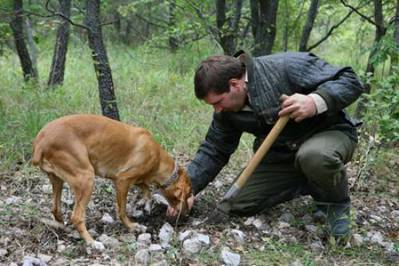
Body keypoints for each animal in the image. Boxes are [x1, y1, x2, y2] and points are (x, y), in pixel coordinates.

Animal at [32, 113, 192, 246]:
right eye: (189, 194)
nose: (186, 215)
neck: (157, 158)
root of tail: (41, 142)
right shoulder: (122, 180)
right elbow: (122, 210)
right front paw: (131, 226)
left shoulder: (137, 177)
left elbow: (146, 188)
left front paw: (146, 204)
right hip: (86, 179)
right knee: (77, 217)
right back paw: (92, 242)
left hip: (57, 180)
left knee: (56, 209)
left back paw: (64, 228)